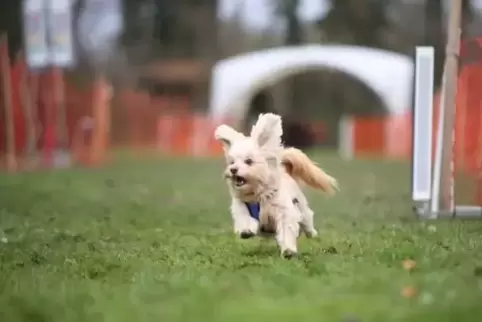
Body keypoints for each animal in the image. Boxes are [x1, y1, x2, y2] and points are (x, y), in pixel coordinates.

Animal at [215, 113, 338, 260]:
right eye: (232, 162)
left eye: (249, 161)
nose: (233, 170)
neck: (258, 195)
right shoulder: (241, 207)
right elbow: (244, 219)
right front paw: (246, 231)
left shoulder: (284, 212)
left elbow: (286, 230)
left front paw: (288, 251)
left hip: (302, 209)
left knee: (307, 223)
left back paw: (312, 233)